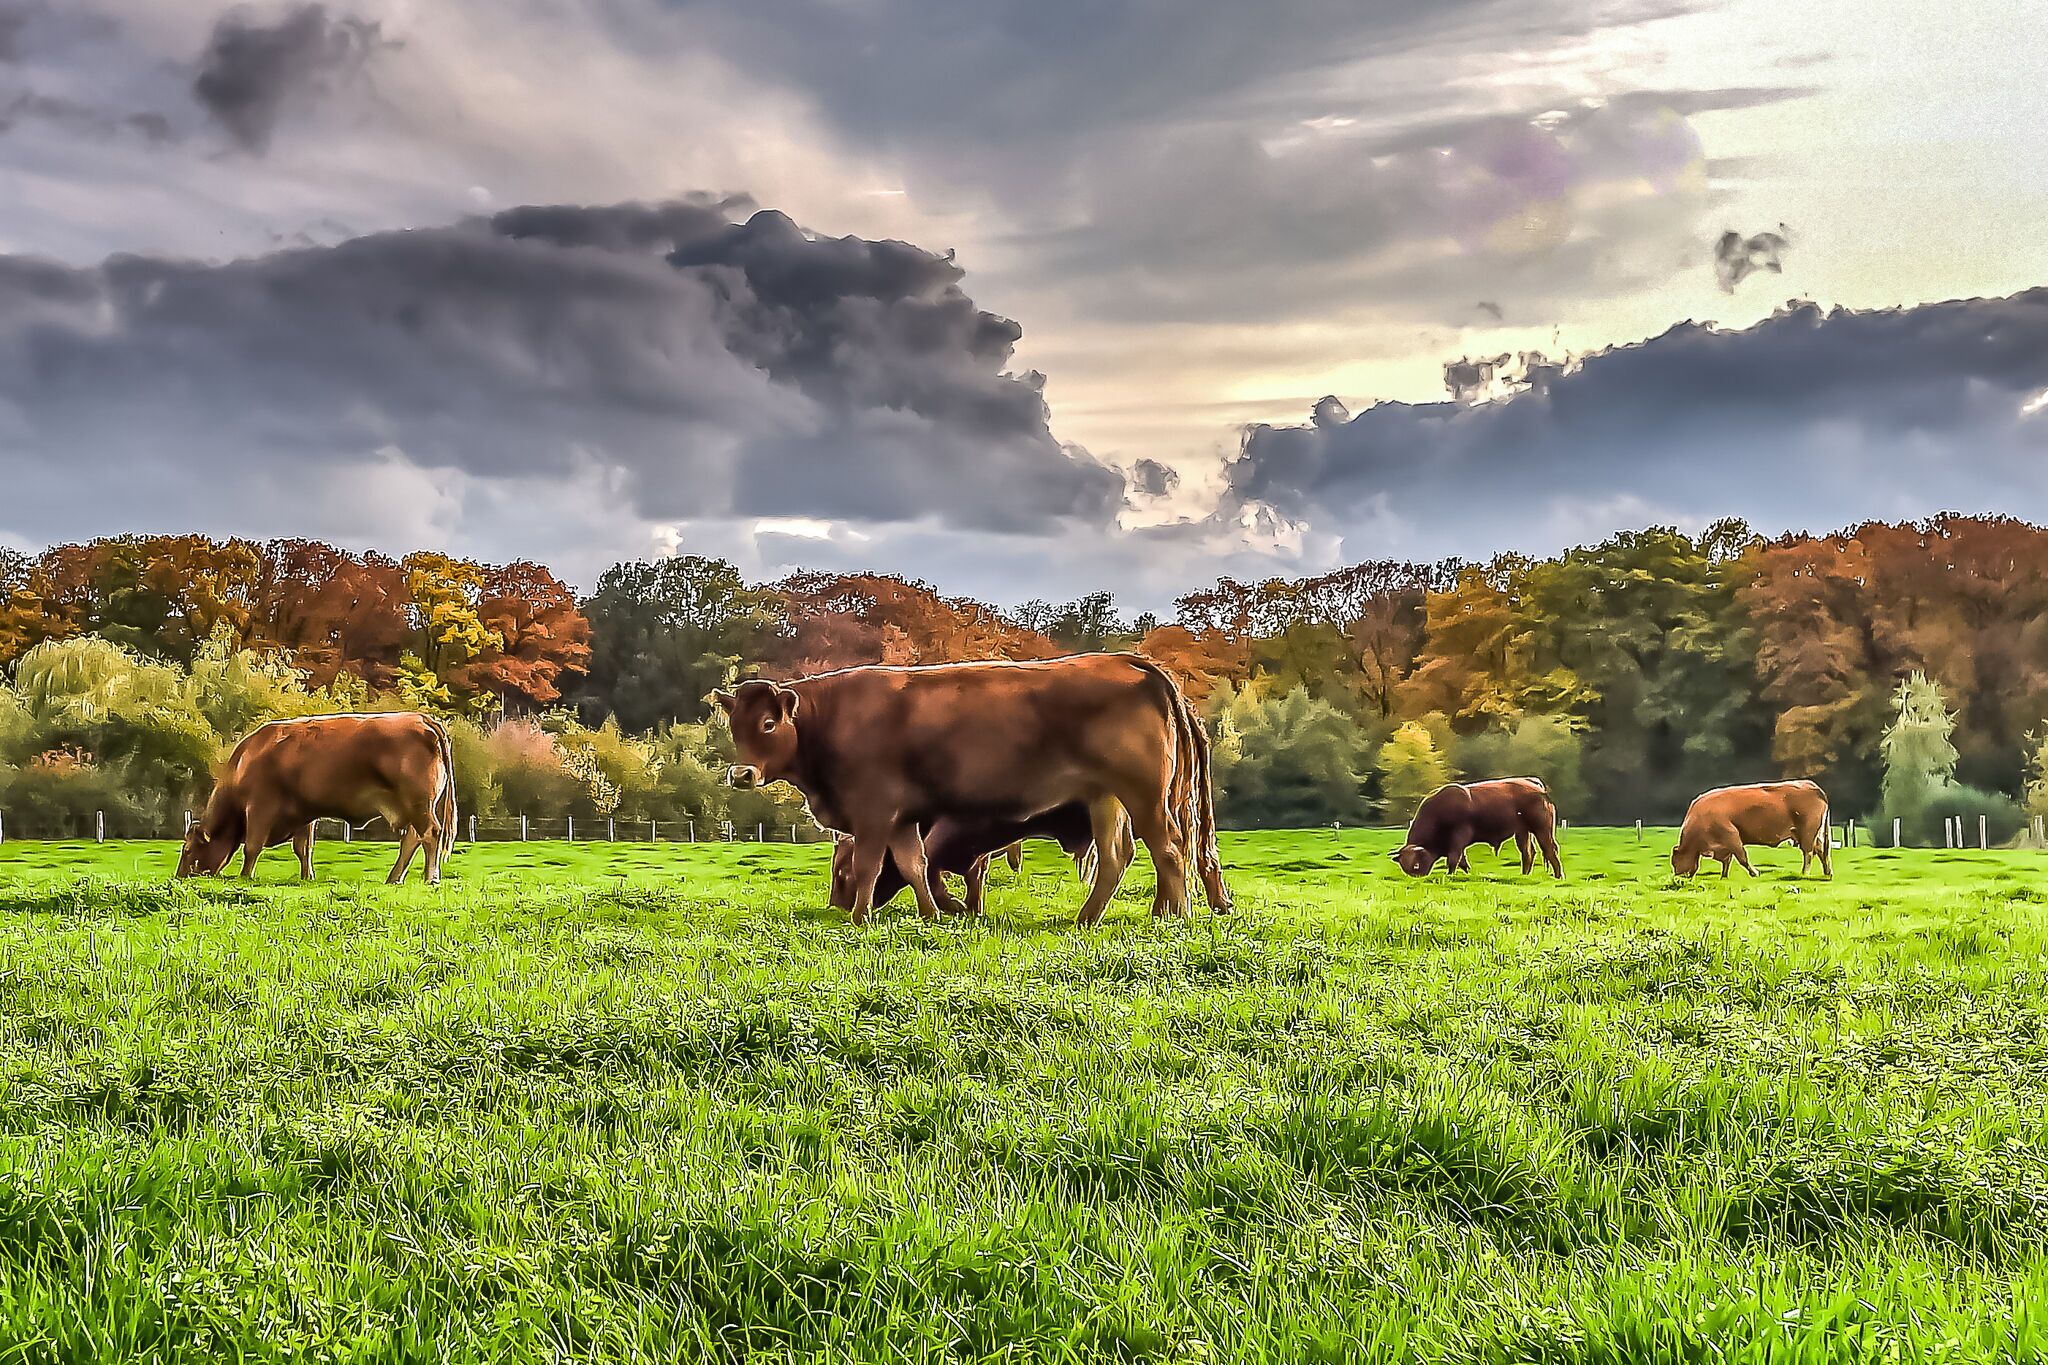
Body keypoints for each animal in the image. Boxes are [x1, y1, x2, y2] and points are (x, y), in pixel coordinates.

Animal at [176, 712, 456, 885]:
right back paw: (394, 878)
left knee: (430, 834)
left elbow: (252, 846)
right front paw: (307, 877)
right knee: (412, 839)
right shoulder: (303, 812)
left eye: (188, 850)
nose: (179, 876)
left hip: (418, 803)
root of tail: (421, 718)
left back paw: (430, 877)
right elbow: (303, 848)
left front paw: (245, 876)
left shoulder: (259, 806)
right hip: (412, 807)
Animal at [829, 802, 1130, 917]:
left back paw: (1088, 916)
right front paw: (973, 908)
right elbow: (972, 877)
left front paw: (953, 906)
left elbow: (928, 868)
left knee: (1116, 858)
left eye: (843, 871)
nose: (834, 906)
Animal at [1390, 777, 1562, 878]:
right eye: (1405, 868)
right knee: (1528, 853)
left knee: (1550, 850)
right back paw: (1524, 875)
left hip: (1541, 830)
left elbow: (1454, 858)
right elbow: (1462, 860)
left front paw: (1450, 875)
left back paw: (1558, 876)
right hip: (1523, 831)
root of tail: (1535, 785)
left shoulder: (1459, 836)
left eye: (1416, 864)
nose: (1418, 878)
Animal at [1672, 779, 1831, 878]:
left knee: (1808, 852)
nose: (1678, 878)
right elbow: (1727, 861)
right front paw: (1723, 876)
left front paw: (1755, 873)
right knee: (1821, 850)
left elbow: (1742, 857)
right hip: (1811, 833)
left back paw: (1805, 873)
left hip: (1807, 831)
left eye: (1674, 863)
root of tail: (1811, 785)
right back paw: (1827, 872)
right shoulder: (1723, 846)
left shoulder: (1731, 836)